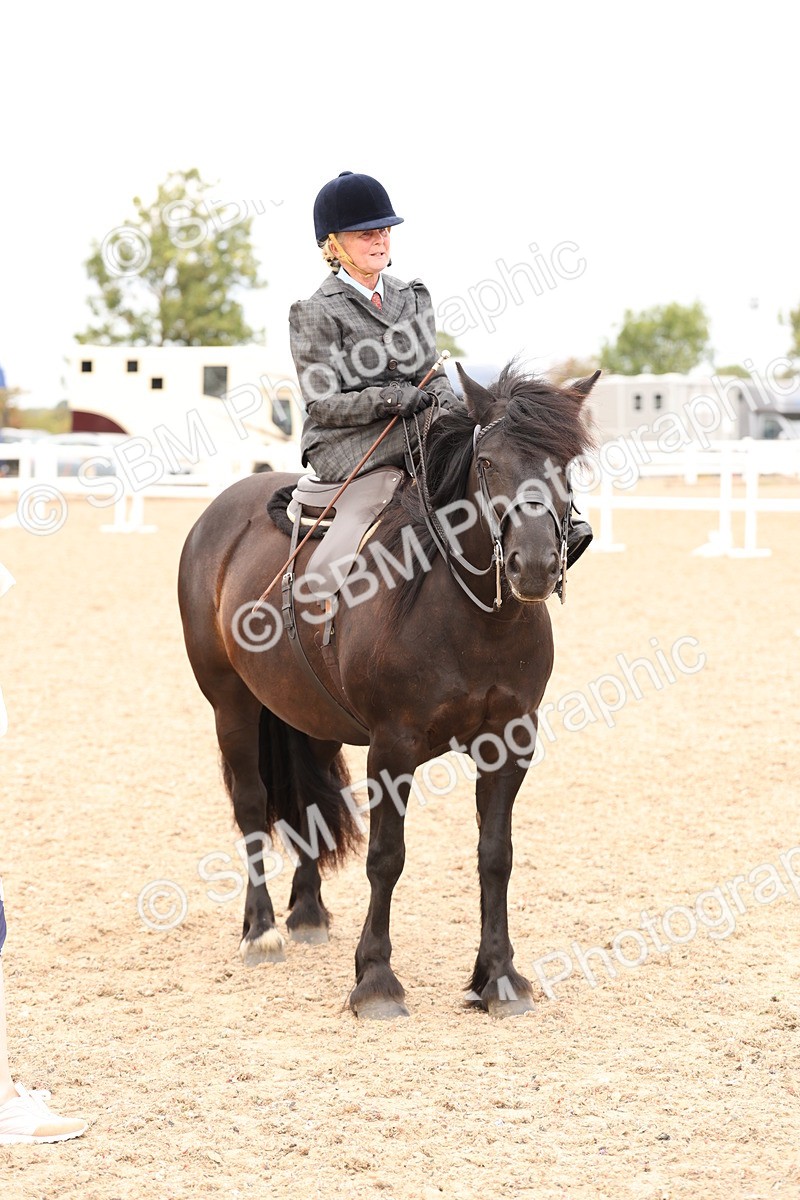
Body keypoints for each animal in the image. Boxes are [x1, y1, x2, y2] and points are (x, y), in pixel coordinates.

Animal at [177, 362, 598, 1019]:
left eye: (567, 463)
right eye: (487, 463)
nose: (532, 564)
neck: (471, 618)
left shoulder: (509, 743)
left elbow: (495, 855)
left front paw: (498, 977)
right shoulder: (392, 747)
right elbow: (387, 857)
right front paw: (375, 979)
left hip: (307, 713)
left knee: (306, 804)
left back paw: (307, 911)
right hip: (230, 704)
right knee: (250, 802)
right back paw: (262, 930)